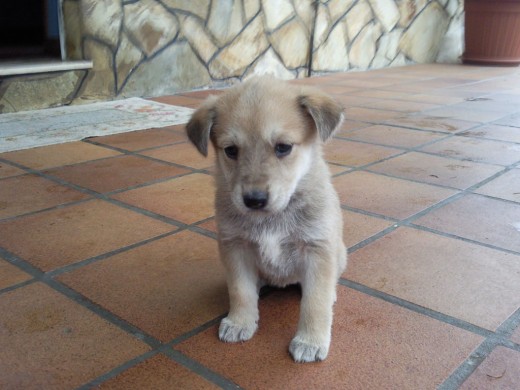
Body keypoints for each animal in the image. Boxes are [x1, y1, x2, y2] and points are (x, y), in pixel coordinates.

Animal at [185, 76, 348, 362]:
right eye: (231, 150)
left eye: (283, 147)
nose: (254, 200)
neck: (272, 218)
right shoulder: (235, 247)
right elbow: (240, 291)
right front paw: (240, 322)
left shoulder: (317, 250)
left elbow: (315, 302)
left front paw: (311, 340)